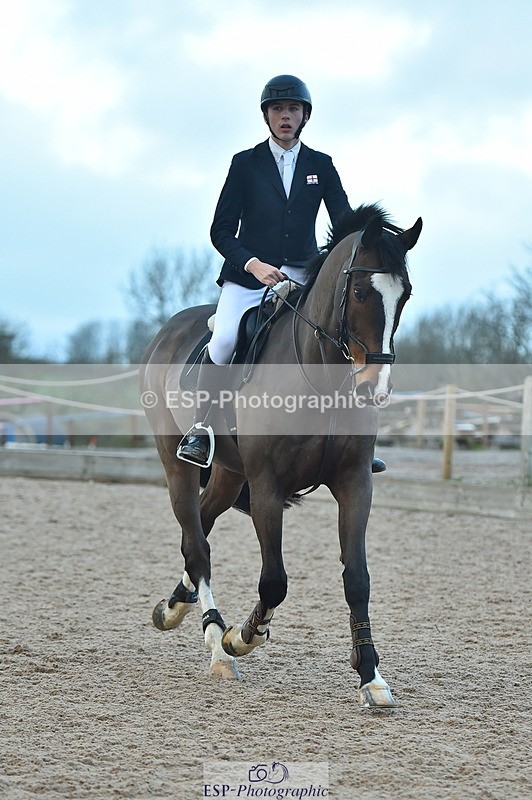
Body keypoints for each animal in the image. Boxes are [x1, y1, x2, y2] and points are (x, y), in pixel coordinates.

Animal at [139, 203, 422, 708]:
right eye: (360, 292)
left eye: (404, 295)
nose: (375, 388)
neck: (324, 377)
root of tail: (170, 328)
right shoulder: (268, 486)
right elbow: (274, 580)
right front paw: (242, 636)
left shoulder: (355, 482)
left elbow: (358, 579)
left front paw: (371, 677)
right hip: (177, 465)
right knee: (197, 544)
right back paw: (217, 647)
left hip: (229, 473)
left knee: (201, 529)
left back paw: (173, 608)